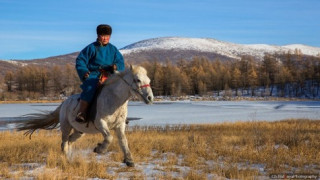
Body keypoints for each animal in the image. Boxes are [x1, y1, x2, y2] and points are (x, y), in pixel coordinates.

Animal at [16, 65, 154, 167]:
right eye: (138, 80)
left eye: (149, 81)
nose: (150, 98)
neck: (114, 99)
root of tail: (64, 102)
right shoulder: (100, 122)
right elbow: (109, 137)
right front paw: (99, 149)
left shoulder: (119, 126)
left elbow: (123, 141)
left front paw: (129, 160)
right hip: (66, 127)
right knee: (64, 142)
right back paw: (66, 159)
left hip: (79, 131)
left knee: (69, 141)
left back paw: (70, 157)